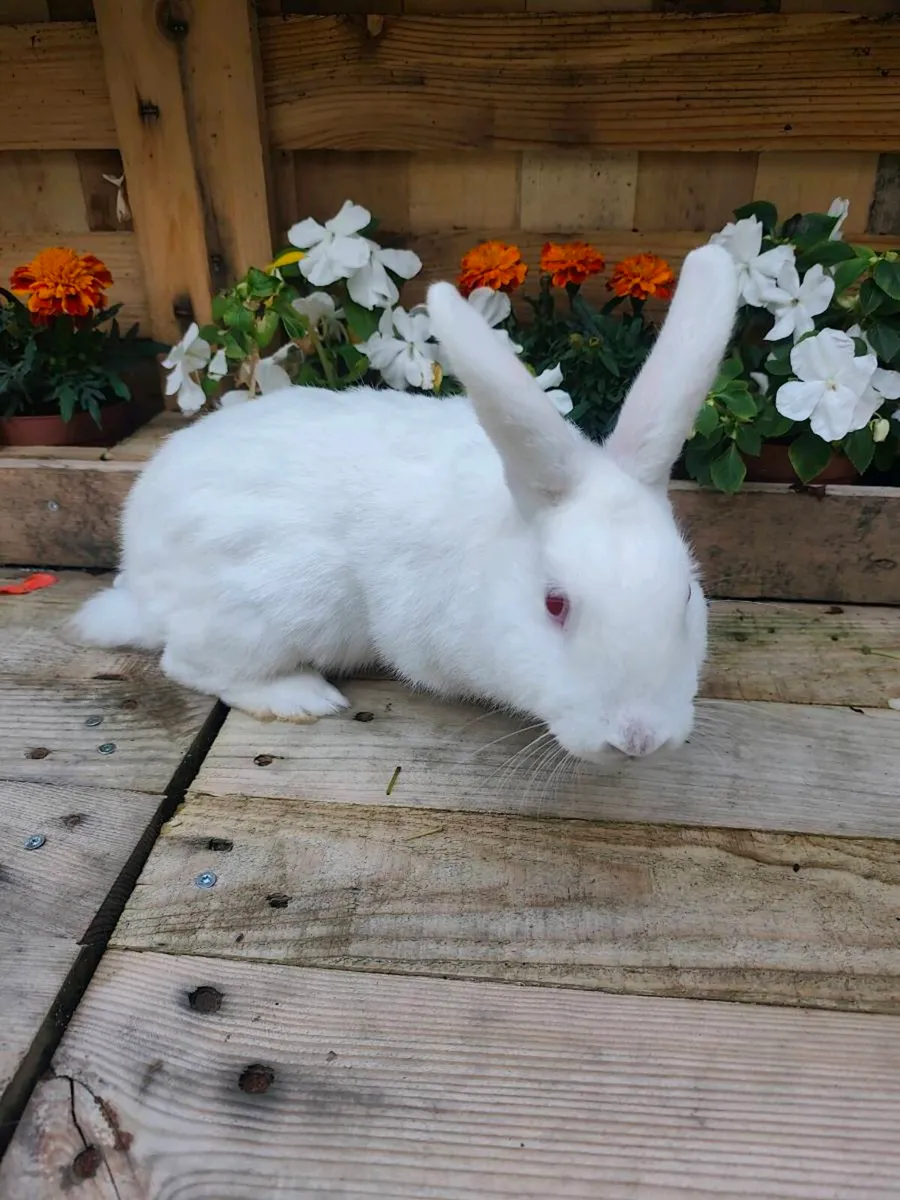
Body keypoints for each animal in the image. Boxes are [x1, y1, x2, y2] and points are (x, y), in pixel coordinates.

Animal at [71, 244, 738, 764]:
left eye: (686, 597)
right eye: (555, 605)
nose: (639, 739)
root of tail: (139, 577)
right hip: (263, 610)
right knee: (187, 663)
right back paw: (301, 697)